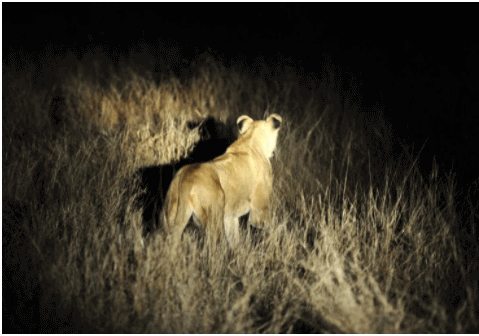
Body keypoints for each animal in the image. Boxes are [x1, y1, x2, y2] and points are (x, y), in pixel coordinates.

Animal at [163, 114, 284, 248]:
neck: (250, 140)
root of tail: (186, 178)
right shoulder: (260, 208)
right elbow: (266, 226)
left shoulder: (230, 216)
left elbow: (234, 237)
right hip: (214, 216)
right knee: (214, 244)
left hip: (170, 216)